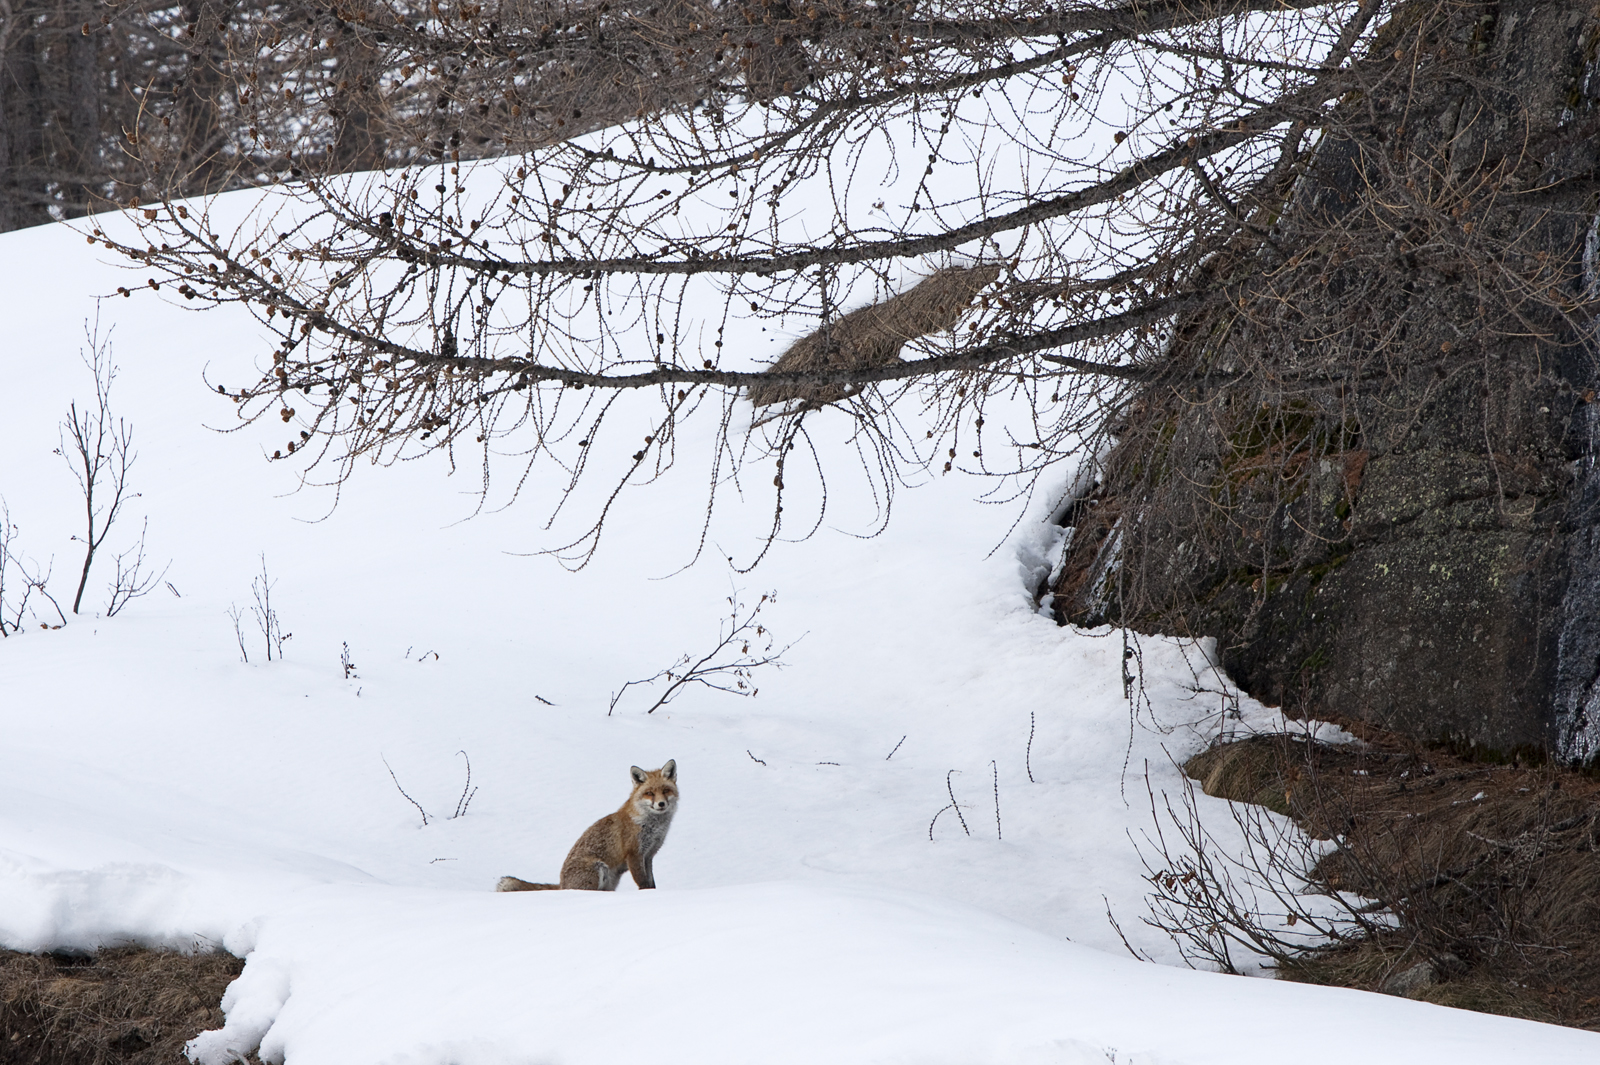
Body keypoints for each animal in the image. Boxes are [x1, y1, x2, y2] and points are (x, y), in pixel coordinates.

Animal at [496, 754, 678, 889]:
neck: (653, 826)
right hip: (599, 868)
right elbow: (643, 883)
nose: (661, 804)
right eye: (649, 793)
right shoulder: (634, 853)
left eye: (665, 790)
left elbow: (651, 882)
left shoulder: (649, 855)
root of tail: (562, 885)